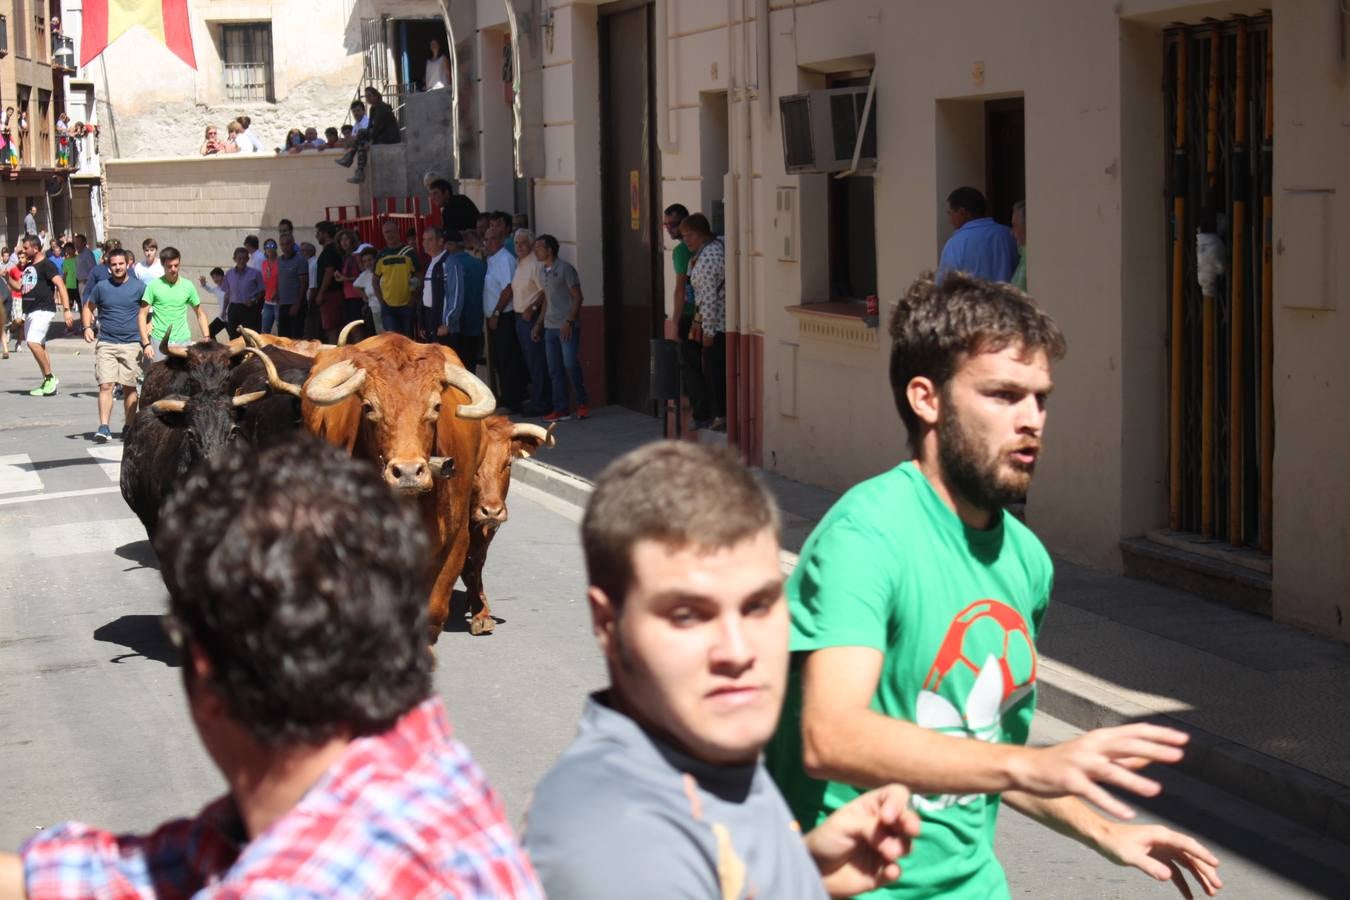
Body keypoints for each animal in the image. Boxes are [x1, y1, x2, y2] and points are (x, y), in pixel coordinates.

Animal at [459, 418, 553, 636]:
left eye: (508, 463)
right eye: (473, 464)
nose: (492, 511)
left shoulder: (485, 534)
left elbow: (476, 565)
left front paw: (481, 611)